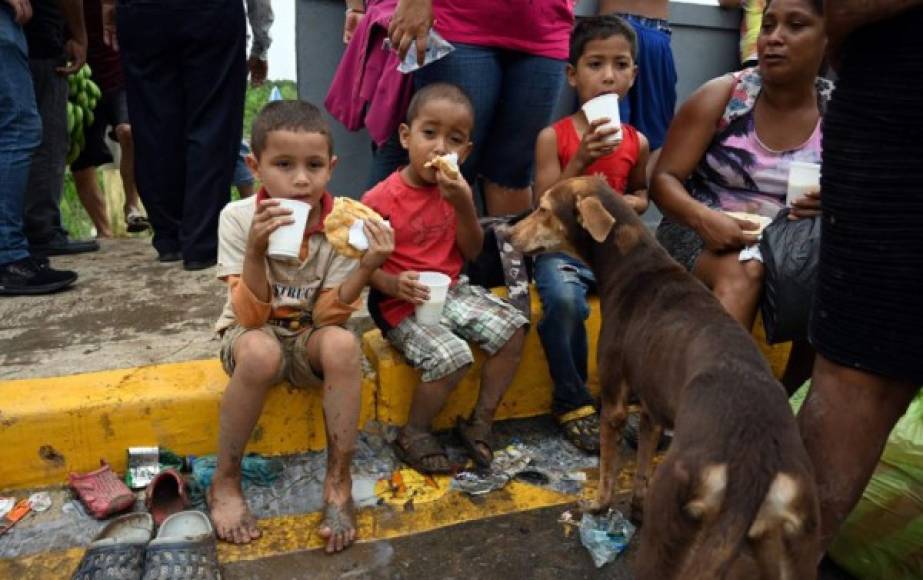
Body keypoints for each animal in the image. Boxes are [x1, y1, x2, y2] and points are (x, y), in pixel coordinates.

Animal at [508, 178, 820, 580]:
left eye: (544, 209)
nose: (507, 232)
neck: (633, 262)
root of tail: (755, 464)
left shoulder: (614, 403)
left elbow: (608, 470)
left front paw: (597, 506)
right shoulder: (652, 409)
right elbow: (641, 467)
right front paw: (636, 507)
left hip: (672, 514)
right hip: (796, 545)